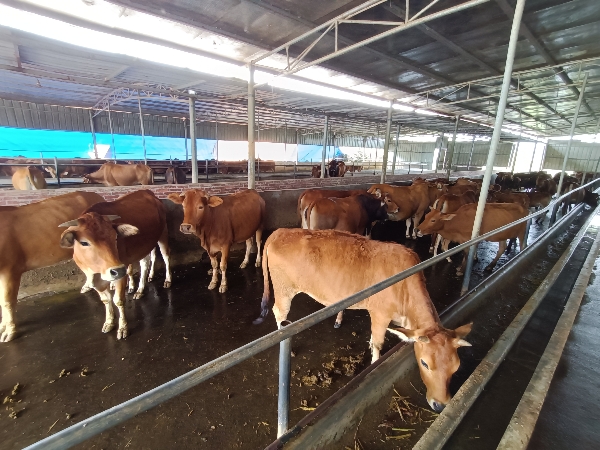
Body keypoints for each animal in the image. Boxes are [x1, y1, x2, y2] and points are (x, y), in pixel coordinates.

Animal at [59, 188, 171, 340]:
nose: (117, 270)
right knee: (146, 262)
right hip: (145, 244)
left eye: (115, 237)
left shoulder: (120, 272)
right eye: (84, 242)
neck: (97, 271)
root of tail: (148, 191)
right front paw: (109, 322)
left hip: (163, 233)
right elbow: (106, 300)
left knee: (165, 256)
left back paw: (167, 280)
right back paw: (141, 288)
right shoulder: (94, 277)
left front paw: (123, 328)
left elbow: (118, 300)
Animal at [253, 229, 474, 412]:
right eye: (425, 363)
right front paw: (375, 364)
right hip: (284, 289)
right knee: (279, 312)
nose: (441, 405)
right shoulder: (380, 314)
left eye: (456, 366)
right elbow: (377, 343)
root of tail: (281, 231)